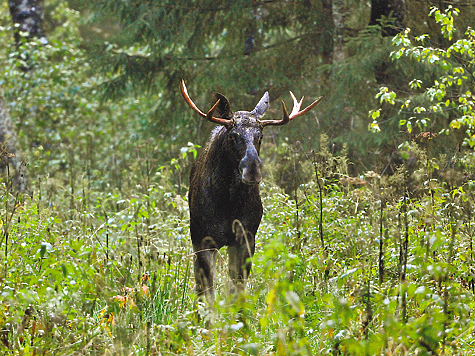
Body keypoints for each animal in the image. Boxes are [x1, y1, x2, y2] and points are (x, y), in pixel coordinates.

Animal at [182, 80, 324, 304]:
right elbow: (208, 295)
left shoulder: (246, 238)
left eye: (260, 135)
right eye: (233, 135)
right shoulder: (203, 239)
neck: (228, 204)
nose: (253, 169)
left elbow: (236, 291)